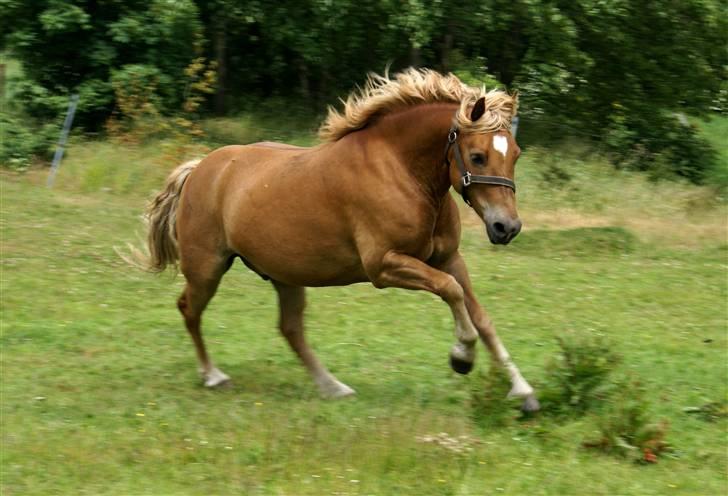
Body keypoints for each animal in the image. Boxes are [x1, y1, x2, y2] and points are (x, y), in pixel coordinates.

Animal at [132, 68, 540, 412]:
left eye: (516, 154)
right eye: (478, 156)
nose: (507, 227)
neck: (401, 171)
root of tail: (199, 168)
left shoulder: (448, 257)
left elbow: (479, 315)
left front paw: (522, 391)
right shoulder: (384, 266)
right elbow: (450, 291)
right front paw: (461, 357)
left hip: (284, 274)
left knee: (290, 329)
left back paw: (333, 387)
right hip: (207, 267)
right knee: (189, 309)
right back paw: (214, 376)